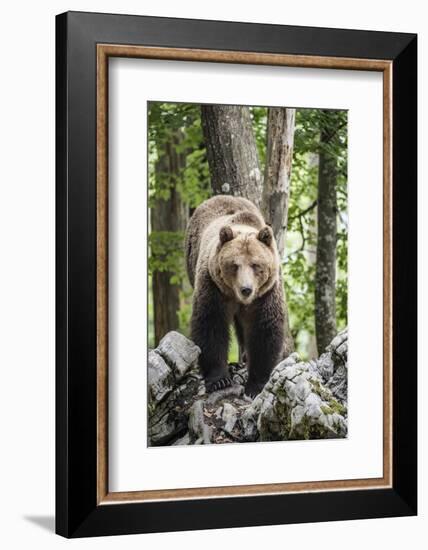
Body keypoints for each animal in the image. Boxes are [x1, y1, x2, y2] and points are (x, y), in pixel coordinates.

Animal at [186, 196, 286, 398]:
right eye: (234, 265)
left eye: (256, 265)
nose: (246, 289)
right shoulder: (213, 286)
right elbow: (211, 324)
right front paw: (219, 380)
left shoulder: (266, 294)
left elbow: (264, 329)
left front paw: (256, 386)